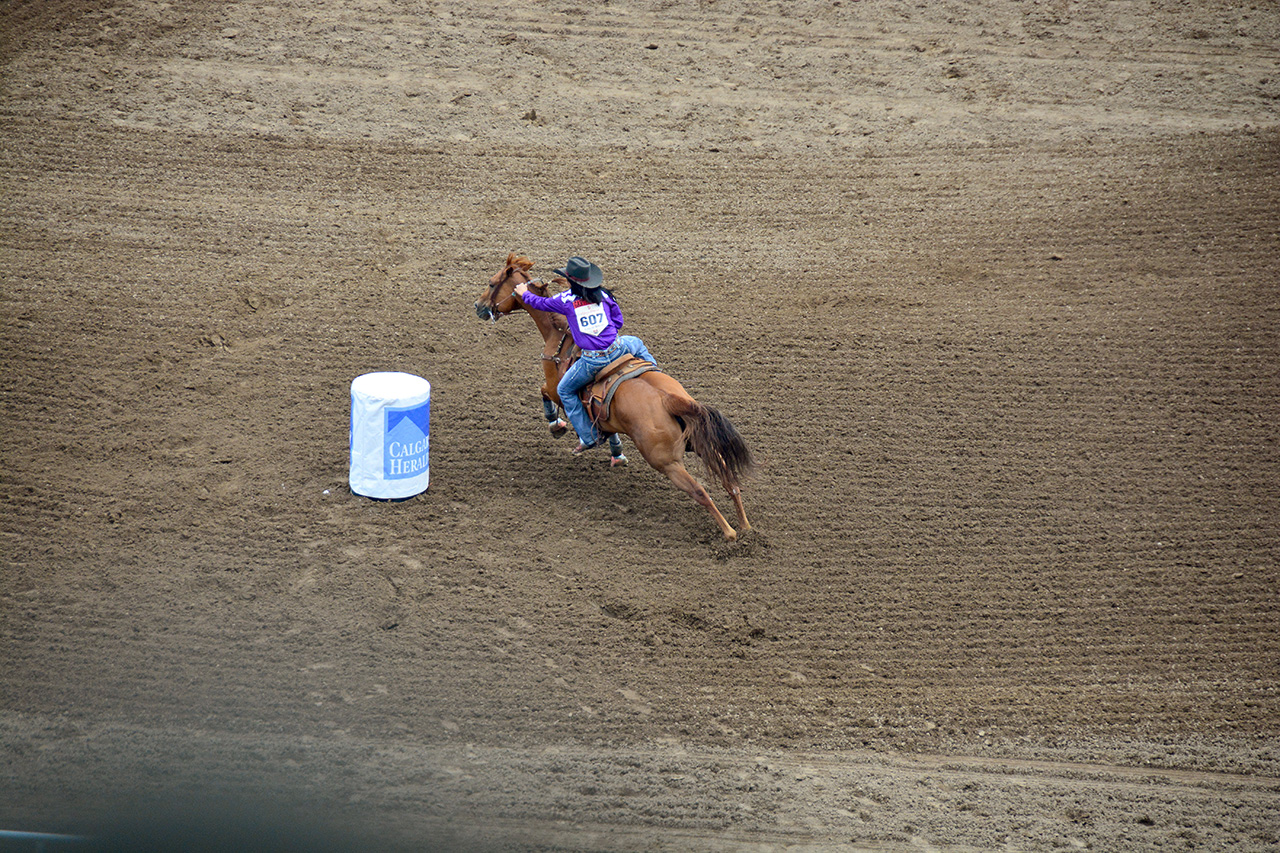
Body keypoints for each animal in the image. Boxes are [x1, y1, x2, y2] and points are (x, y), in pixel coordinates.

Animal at [476, 252, 752, 537]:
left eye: (491, 282)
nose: (479, 306)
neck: (559, 333)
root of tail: (669, 400)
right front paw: (617, 453)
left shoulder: (557, 388)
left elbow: (544, 394)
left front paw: (557, 425)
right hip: (698, 443)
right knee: (729, 480)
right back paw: (745, 527)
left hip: (666, 462)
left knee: (700, 491)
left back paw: (730, 534)